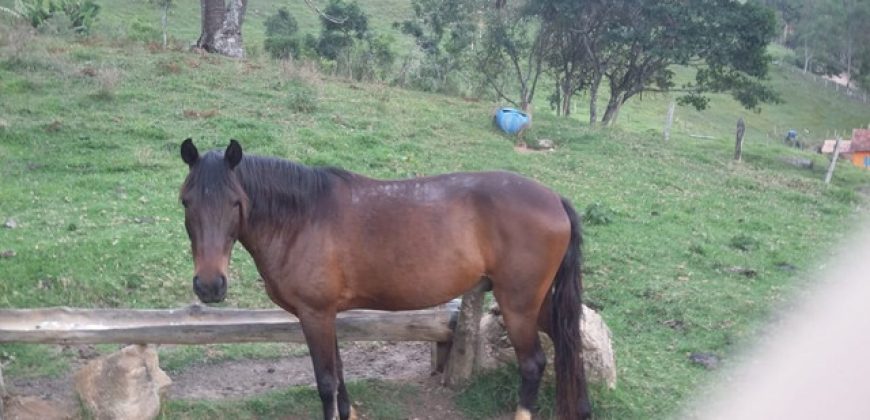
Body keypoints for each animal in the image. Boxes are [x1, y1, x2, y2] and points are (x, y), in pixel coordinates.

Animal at [177, 139, 592, 418]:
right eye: (186, 201)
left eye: (235, 202)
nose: (210, 285)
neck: (303, 218)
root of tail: (554, 199)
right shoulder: (326, 316)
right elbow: (339, 375)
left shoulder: (315, 314)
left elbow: (326, 382)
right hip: (535, 303)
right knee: (569, 348)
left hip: (517, 304)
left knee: (534, 363)